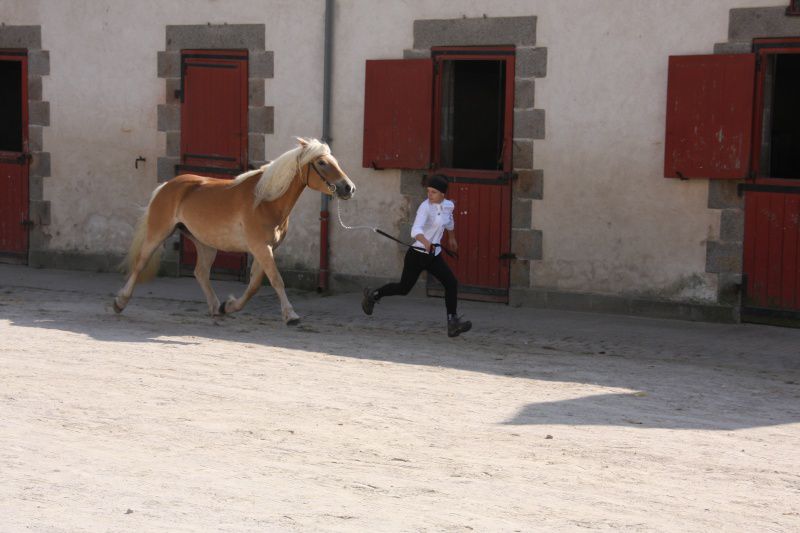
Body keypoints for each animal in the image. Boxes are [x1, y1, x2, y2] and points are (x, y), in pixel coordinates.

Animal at [113, 137, 356, 325]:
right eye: (322, 162)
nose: (349, 188)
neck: (265, 201)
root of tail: (167, 185)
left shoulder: (265, 249)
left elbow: (255, 285)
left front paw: (229, 306)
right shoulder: (260, 248)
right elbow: (276, 280)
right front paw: (291, 315)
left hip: (205, 243)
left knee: (201, 273)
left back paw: (215, 308)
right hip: (158, 233)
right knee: (140, 264)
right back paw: (120, 302)